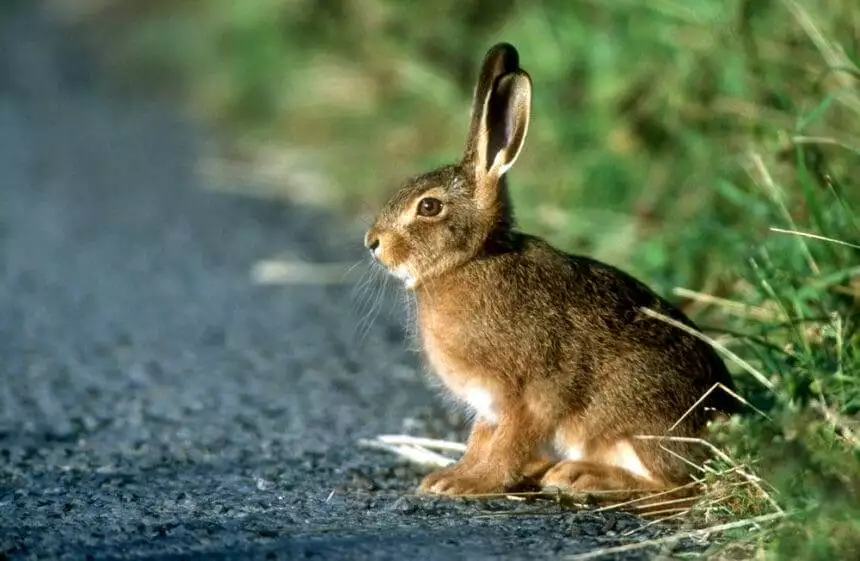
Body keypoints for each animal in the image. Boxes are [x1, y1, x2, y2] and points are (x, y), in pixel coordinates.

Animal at [363, 42, 736, 501]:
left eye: (429, 206)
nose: (372, 242)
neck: (473, 261)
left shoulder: (529, 396)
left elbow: (507, 445)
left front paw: (467, 483)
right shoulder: (489, 408)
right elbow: (479, 440)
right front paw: (449, 475)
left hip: (633, 423)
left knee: (672, 483)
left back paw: (577, 475)